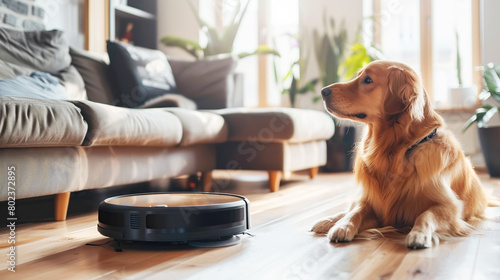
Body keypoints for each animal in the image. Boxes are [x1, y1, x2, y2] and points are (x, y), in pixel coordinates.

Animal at [312, 60, 488, 248]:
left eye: (367, 80)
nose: (323, 91)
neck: (397, 152)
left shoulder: (450, 206)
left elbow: (425, 215)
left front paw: (418, 234)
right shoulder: (375, 204)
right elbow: (357, 210)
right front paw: (342, 226)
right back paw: (327, 221)